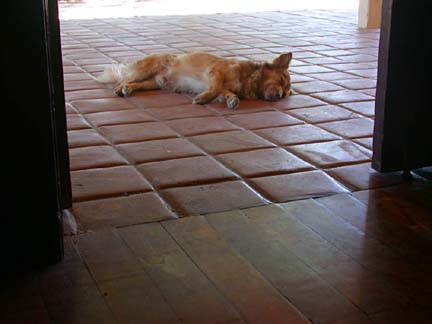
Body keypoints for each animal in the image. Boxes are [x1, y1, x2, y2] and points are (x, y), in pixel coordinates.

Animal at [98, 51, 294, 109]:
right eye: (281, 80)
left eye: (285, 94)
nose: (279, 96)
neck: (249, 80)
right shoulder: (215, 73)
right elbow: (216, 88)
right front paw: (202, 99)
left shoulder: (221, 84)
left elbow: (225, 92)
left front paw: (232, 99)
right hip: (144, 71)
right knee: (124, 80)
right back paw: (120, 89)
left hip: (152, 83)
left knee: (135, 84)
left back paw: (129, 89)